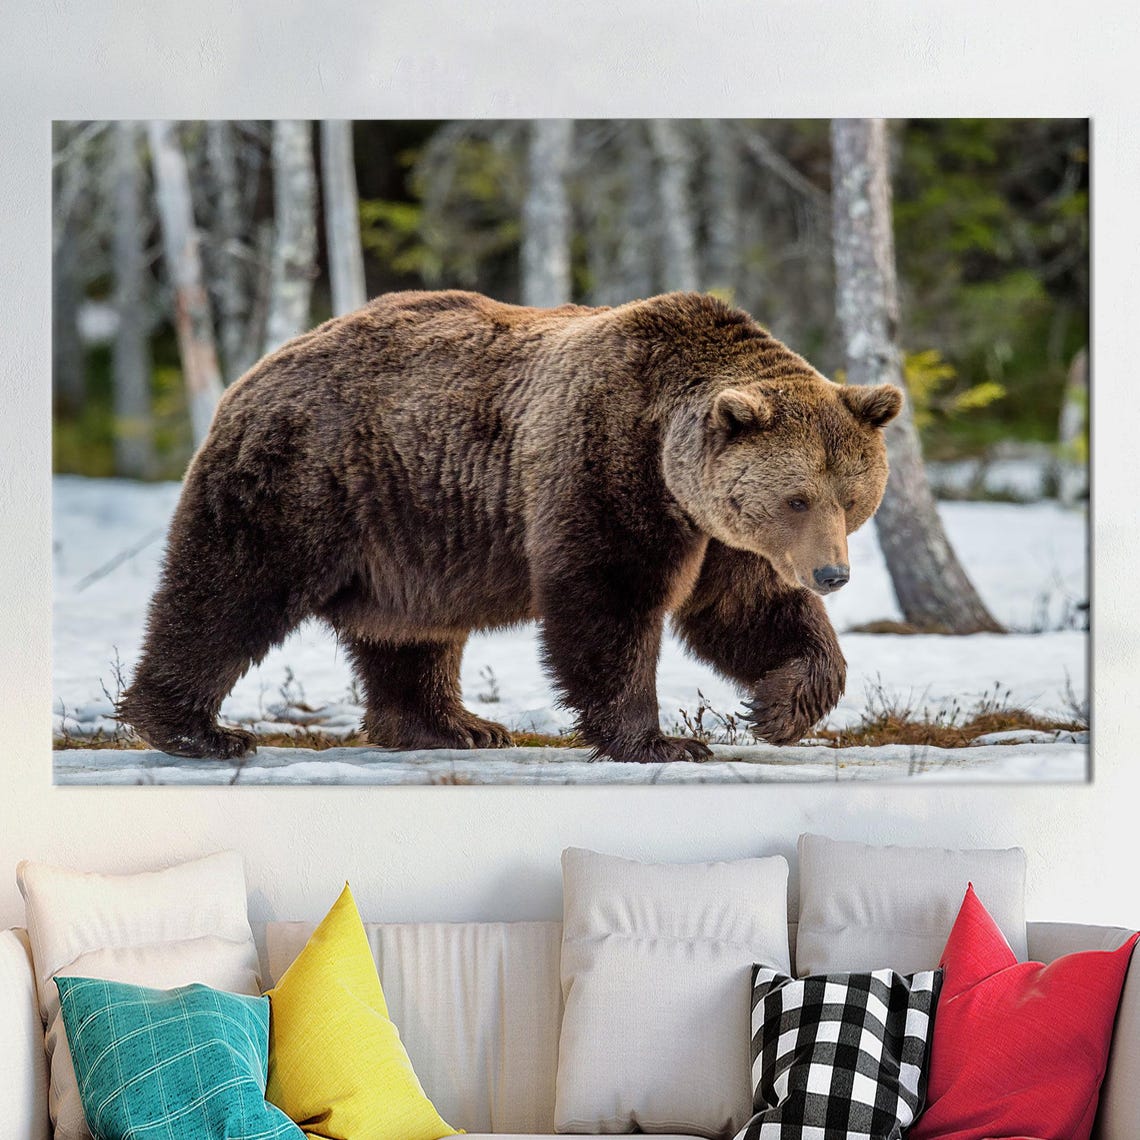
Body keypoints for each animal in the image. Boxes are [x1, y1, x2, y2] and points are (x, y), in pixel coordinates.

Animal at [118, 290, 902, 764]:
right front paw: (658, 740)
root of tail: (258, 368)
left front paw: (776, 707)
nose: (832, 573)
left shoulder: (720, 534)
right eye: (797, 497)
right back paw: (197, 729)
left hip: (406, 534)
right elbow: (610, 604)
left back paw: (454, 726)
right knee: (229, 591)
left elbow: (747, 611)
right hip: (306, 483)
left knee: (409, 634)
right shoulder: (605, 467)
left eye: (851, 495)